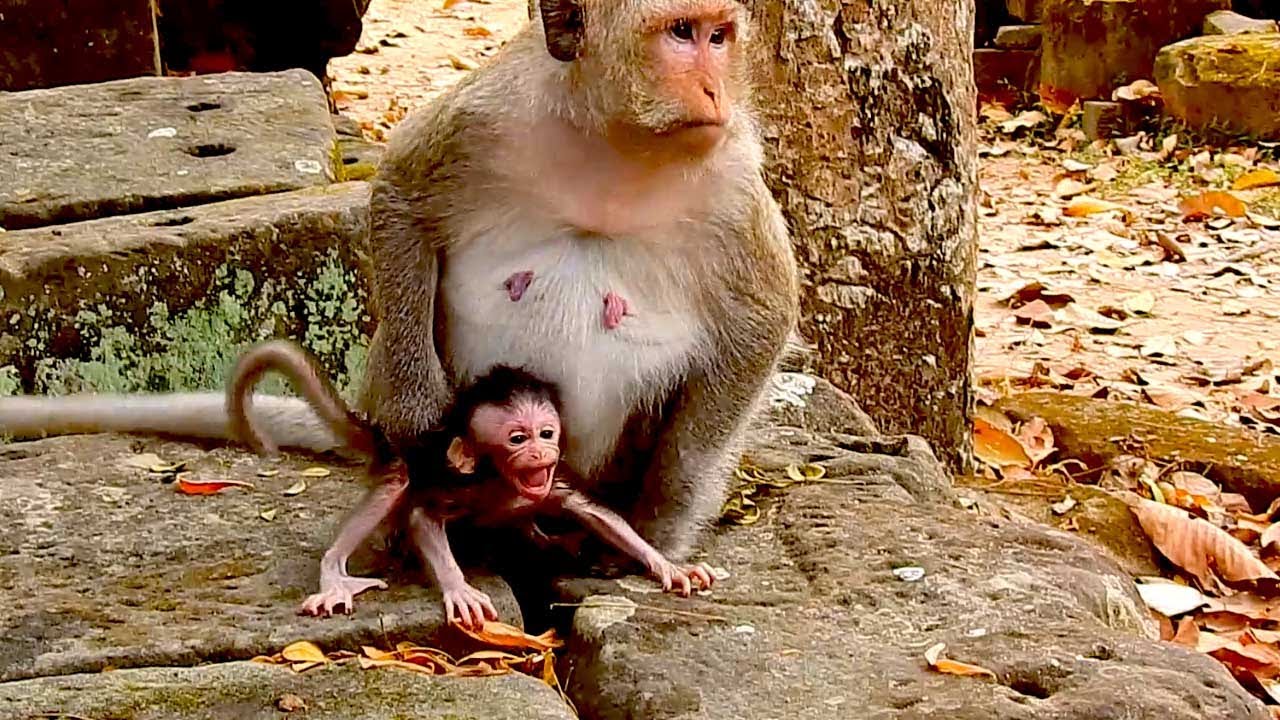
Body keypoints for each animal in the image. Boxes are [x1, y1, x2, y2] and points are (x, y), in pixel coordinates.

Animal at [0, 0, 800, 567]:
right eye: (681, 33)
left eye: (720, 36)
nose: (713, 88)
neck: (617, 140)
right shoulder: (488, 115)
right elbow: (401, 203)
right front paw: (419, 414)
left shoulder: (730, 181)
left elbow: (761, 322)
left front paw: (661, 525)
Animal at [228, 339, 714, 628]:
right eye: (517, 438)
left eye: (546, 433)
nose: (540, 452)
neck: (503, 482)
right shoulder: (462, 483)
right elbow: (423, 516)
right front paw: (458, 586)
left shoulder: (552, 483)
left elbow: (595, 513)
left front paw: (667, 564)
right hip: (409, 464)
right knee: (398, 481)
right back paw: (335, 575)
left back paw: (544, 539)